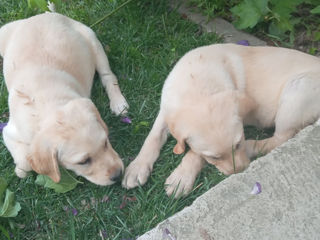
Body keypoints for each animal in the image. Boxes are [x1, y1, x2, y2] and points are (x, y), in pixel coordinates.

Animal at [0, 12, 129, 186]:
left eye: (105, 143)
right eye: (83, 162)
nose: (118, 175)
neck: (47, 104)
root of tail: (43, 14)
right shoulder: (9, 131)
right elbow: (25, 162)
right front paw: (21, 168)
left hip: (92, 41)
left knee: (108, 76)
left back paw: (118, 103)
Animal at [122, 43, 320, 197]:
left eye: (238, 144)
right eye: (214, 157)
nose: (239, 171)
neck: (196, 82)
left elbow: (194, 154)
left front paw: (181, 178)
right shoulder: (166, 110)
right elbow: (153, 137)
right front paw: (137, 167)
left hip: (297, 90)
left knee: (282, 138)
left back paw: (252, 146)